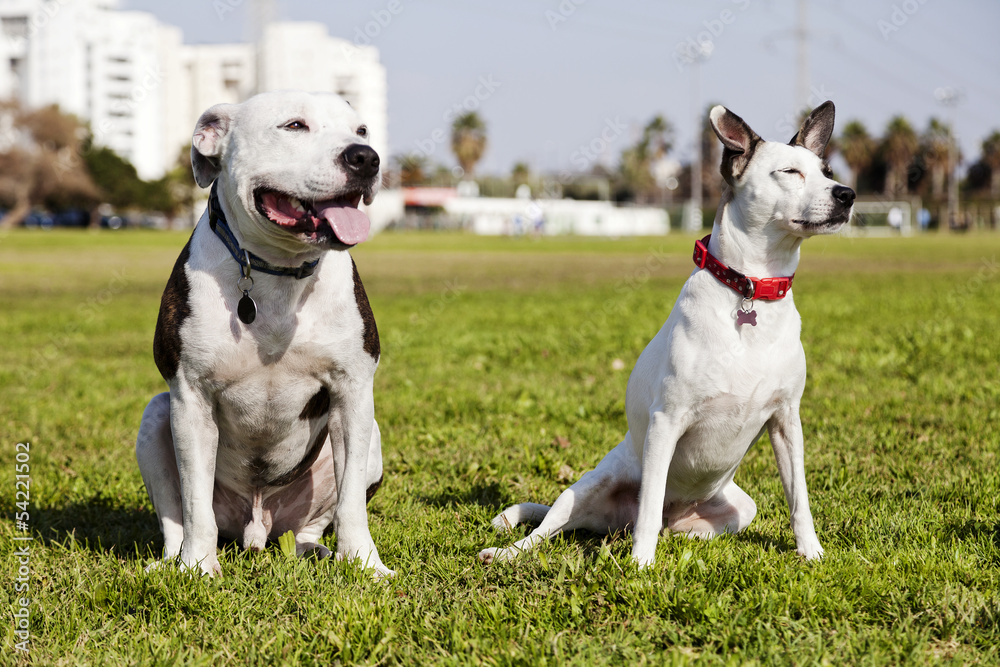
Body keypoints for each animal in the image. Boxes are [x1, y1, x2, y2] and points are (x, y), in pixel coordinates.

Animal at [135, 90, 392, 580]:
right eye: (294, 126)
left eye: (362, 130)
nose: (365, 157)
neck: (277, 272)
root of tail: (257, 528)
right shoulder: (191, 400)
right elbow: (194, 503)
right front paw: (198, 569)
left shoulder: (353, 393)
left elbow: (351, 503)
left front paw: (366, 565)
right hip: (157, 417)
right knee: (177, 519)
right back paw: (172, 562)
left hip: (365, 444)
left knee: (315, 524)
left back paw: (319, 551)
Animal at [480, 100, 856, 568]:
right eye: (789, 172)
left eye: (827, 170)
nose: (847, 194)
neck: (751, 288)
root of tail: (610, 523)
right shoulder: (666, 422)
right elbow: (650, 499)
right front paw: (641, 565)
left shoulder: (787, 421)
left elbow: (799, 499)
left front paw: (812, 553)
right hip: (585, 488)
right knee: (558, 527)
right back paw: (507, 552)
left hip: (737, 509)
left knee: (669, 524)